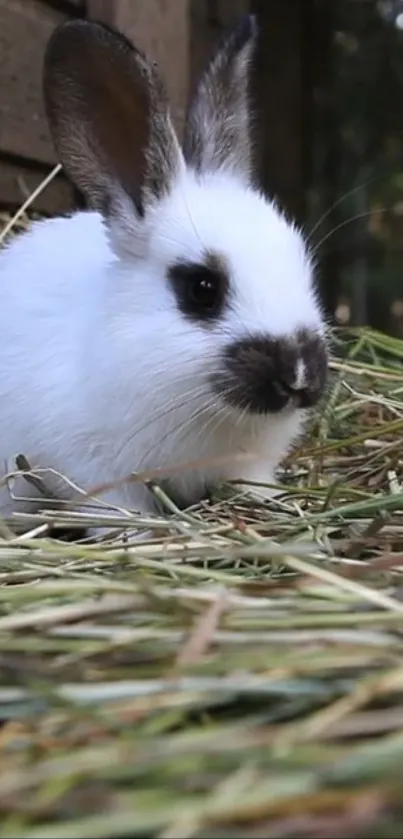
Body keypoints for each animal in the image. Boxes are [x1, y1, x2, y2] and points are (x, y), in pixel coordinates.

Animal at [0, 16, 330, 536]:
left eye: (303, 269)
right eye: (202, 289)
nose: (299, 375)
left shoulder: (248, 465)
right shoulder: (99, 474)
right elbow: (119, 510)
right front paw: (137, 533)